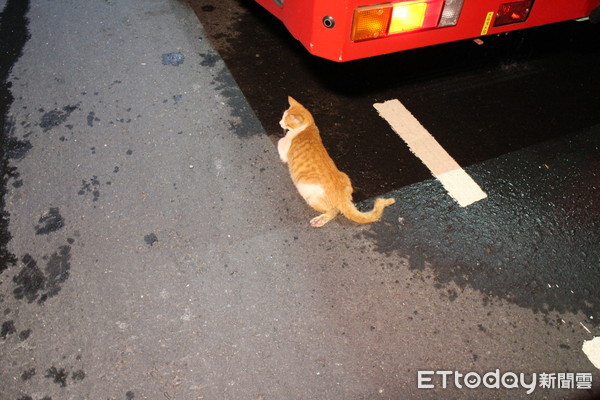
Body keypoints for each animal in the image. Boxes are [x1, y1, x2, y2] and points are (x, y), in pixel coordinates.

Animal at [280, 96, 396, 228]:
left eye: (285, 120)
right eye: (282, 116)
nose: (279, 123)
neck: (308, 126)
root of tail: (343, 197)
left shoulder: (284, 150)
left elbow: (280, 142)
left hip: (308, 193)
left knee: (334, 211)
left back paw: (320, 220)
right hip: (345, 177)